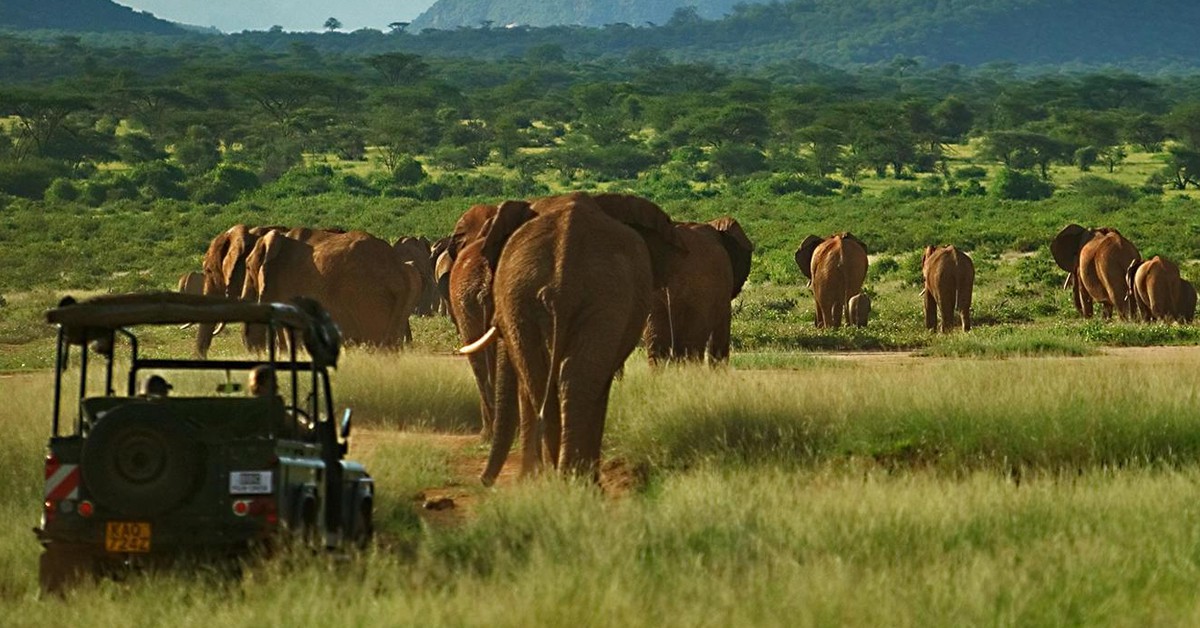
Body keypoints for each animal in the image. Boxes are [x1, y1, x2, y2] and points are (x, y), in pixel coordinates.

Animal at [466, 192, 686, 485]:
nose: (483, 481)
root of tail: (563, 281)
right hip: (539, 297)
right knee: (560, 381)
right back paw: (567, 479)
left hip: (585, 298)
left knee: (554, 381)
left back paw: (566, 479)